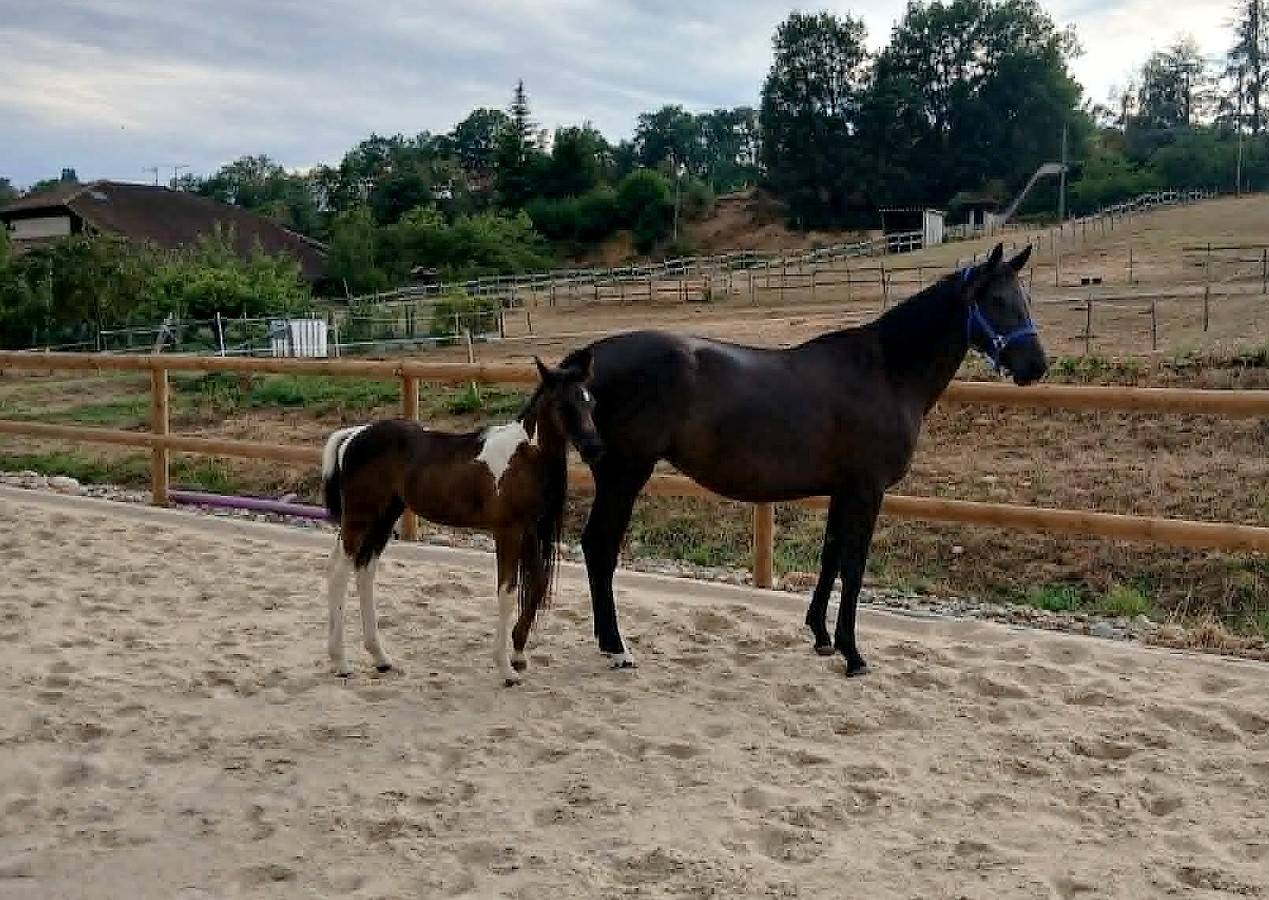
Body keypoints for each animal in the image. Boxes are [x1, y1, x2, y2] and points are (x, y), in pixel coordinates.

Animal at [319, 354, 603, 685]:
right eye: (563, 403)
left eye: (590, 401)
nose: (595, 448)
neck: (522, 457)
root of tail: (354, 435)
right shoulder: (507, 531)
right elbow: (507, 591)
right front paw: (505, 668)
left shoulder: (530, 530)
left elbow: (536, 584)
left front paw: (518, 655)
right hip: (360, 516)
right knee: (339, 571)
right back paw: (340, 662)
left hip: (384, 517)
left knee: (364, 571)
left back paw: (380, 658)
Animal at [561, 242, 1046, 676]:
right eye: (997, 301)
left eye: (1024, 298)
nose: (1037, 366)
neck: (888, 372)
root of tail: (590, 361)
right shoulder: (867, 490)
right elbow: (853, 566)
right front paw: (853, 654)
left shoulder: (842, 489)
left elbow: (830, 556)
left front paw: (822, 637)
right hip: (624, 474)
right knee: (600, 547)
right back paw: (617, 648)